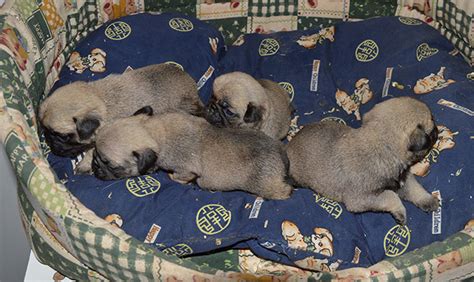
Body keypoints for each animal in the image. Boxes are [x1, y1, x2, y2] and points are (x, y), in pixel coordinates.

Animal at [39, 64, 204, 172]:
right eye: (45, 130)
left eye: (63, 136)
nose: (48, 140)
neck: (101, 99)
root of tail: (194, 89)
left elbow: (92, 150)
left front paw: (85, 164)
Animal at [92, 106, 292, 200]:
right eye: (94, 152)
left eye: (110, 165)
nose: (95, 165)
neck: (153, 130)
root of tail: (279, 151)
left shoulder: (185, 170)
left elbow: (179, 176)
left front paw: (172, 177)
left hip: (265, 186)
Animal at [286, 97, 442, 225]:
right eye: (432, 126)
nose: (438, 129)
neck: (382, 148)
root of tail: (289, 145)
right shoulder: (361, 199)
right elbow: (390, 196)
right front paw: (400, 211)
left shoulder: (404, 179)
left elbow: (416, 189)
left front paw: (428, 200)